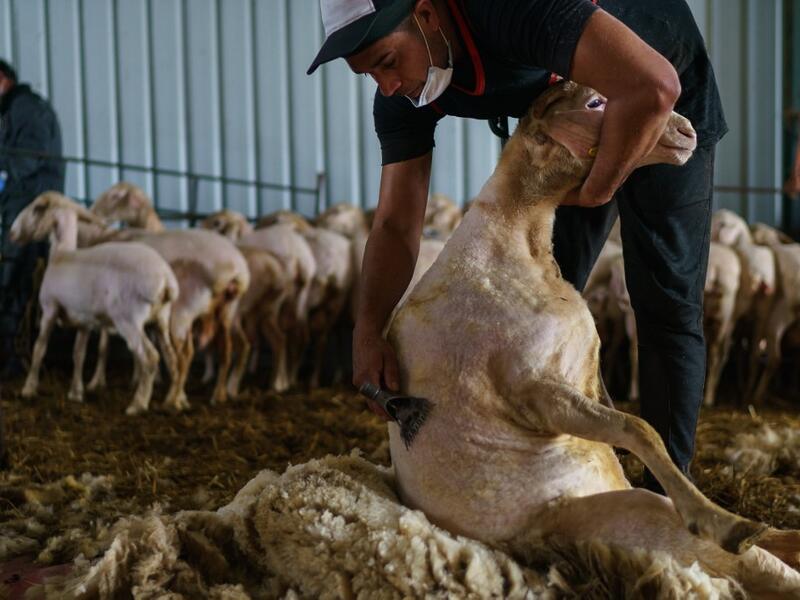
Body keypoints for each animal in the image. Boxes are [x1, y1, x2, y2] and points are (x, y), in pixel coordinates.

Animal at [9, 193, 179, 415]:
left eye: (37, 208)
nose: (12, 232)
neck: (62, 254)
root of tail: (166, 279)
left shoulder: (49, 309)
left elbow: (39, 348)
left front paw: (28, 389)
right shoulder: (84, 322)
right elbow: (78, 355)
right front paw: (75, 393)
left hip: (128, 319)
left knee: (150, 358)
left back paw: (138, 404)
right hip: (161, 320)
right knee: (173, 357)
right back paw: (174, 401)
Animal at [90, 183, 250, 408]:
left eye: (114, 196)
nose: (93, 213)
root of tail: (237, 270)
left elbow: (109, 344)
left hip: (187, 313)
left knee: (193, 353)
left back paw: (174, 399)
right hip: (227, 312)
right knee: (228, 349)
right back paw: (218, 395)